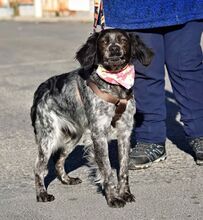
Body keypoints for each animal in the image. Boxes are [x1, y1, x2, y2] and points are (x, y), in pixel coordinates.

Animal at [30, 28, 153, 207]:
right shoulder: (99, 134)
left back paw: (66, 180)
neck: (115, 85)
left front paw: (125, 193)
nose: (114, 49)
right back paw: (42, 194)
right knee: (39, 167)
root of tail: (42, 87)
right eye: (103, 42)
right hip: (49, 137)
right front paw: (113, 198)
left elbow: (123, 170)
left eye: (123, 40)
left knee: (59, 158)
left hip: (73, 136)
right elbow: (107, 170)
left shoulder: (124, 133)